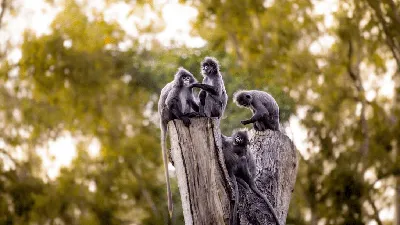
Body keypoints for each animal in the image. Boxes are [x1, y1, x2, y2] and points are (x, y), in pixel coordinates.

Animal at [157, 67, 199, 218]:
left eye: (187, 77)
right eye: (183, 78)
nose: (186, 80)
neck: (183, 86)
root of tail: (162, 121)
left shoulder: (189, 89)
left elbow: (191, 100)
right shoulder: (176, 88)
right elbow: (170, 102)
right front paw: (183, 118)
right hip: (167, 114)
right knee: (174, 102)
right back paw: (183, 116)